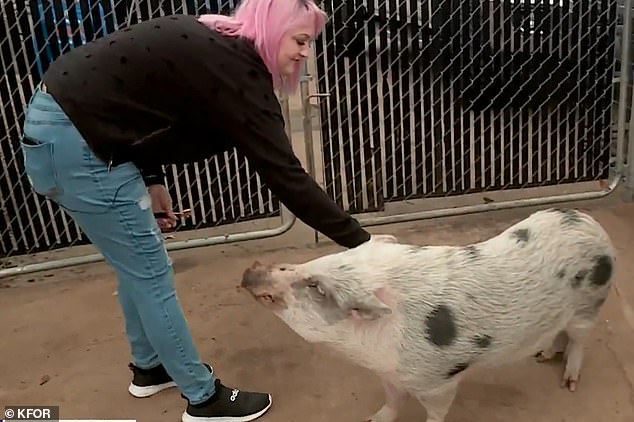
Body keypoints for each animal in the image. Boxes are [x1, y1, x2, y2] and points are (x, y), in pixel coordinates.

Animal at [239, 208, 616, 422]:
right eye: (295, 266)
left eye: (317, 287)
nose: (251, 269)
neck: (371, 351)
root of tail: (591, 224)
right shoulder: (388, 372)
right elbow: (392, 401)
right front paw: (371, 421)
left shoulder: (438, 382)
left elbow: (435, 412)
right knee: (558, 334)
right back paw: (543, 355)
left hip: (590, 303)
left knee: (579, 340)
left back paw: (569, 382)